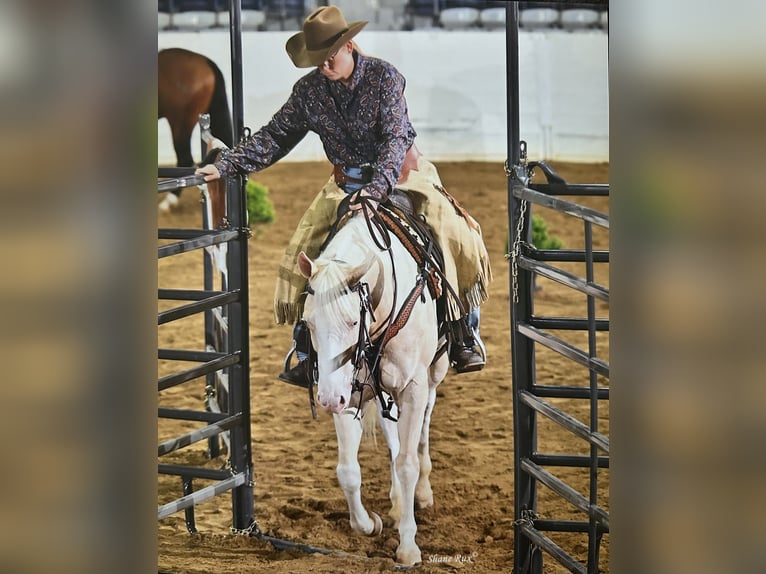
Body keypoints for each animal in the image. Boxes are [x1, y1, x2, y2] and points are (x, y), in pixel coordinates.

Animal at [297, 205, 450, 566]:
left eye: (353, 321)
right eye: (308, 322)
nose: (326, 400)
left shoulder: (412, 389)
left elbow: (407, 464)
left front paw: (408, 547)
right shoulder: (346, 390)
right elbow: (348, 470)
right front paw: (368, 524)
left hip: (435, 372)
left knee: (422, 428)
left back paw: (422, 493)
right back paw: (395, 504)